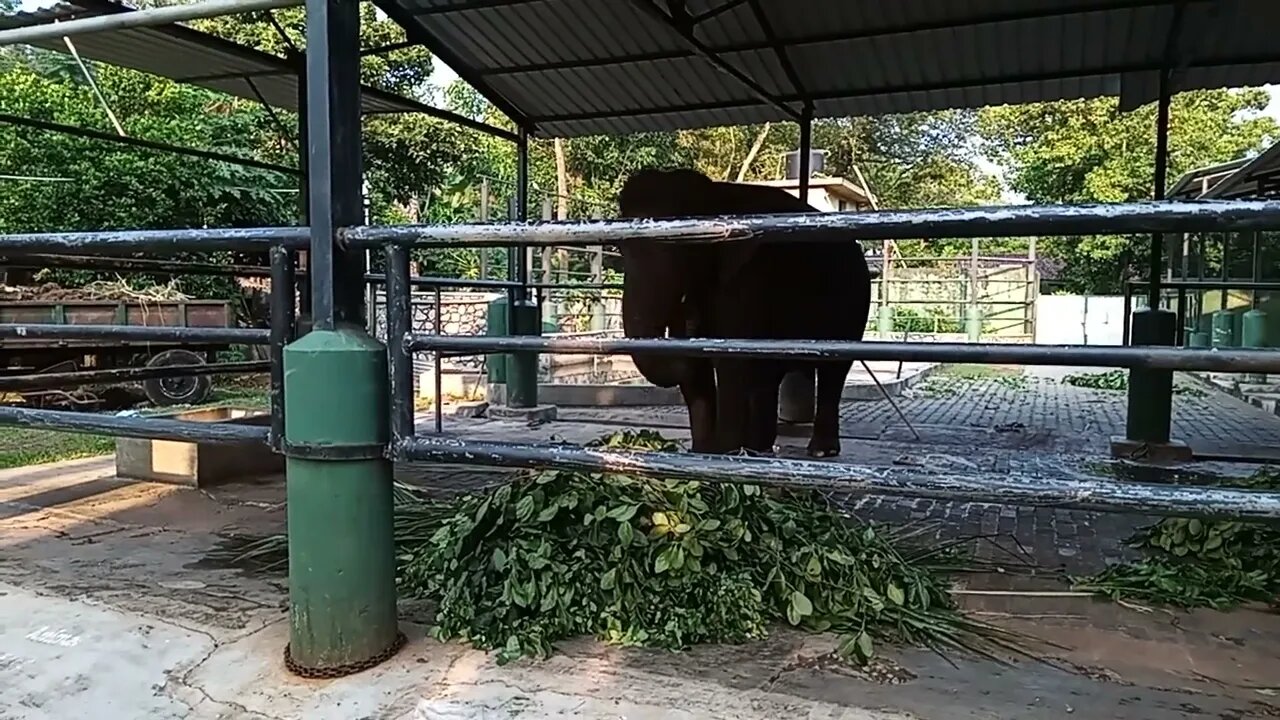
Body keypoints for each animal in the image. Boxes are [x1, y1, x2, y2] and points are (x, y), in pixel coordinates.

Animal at [616, 166, 875, 453]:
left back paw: (818, 450)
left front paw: (722, 452)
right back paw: (759, 446)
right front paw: (703, 451)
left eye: (686, 247)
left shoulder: (749, 278)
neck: (714, 193)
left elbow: (731, 358)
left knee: (834, 369)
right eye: (621, 248)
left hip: (854, 302)